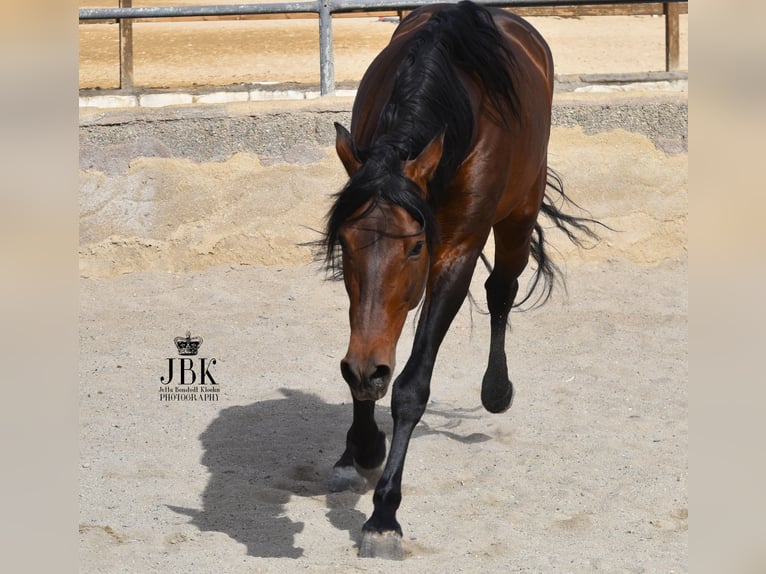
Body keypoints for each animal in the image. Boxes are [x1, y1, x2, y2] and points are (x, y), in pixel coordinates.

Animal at [318, 0, 600, 560]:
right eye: (345, 243)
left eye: (415, 246)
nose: (367, 370)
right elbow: (368, 345)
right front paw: (360, 447)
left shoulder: (457, 252)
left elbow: (411, 386)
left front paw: (384, 516)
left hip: (519, 216)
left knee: (502, 292)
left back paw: (496, 389)